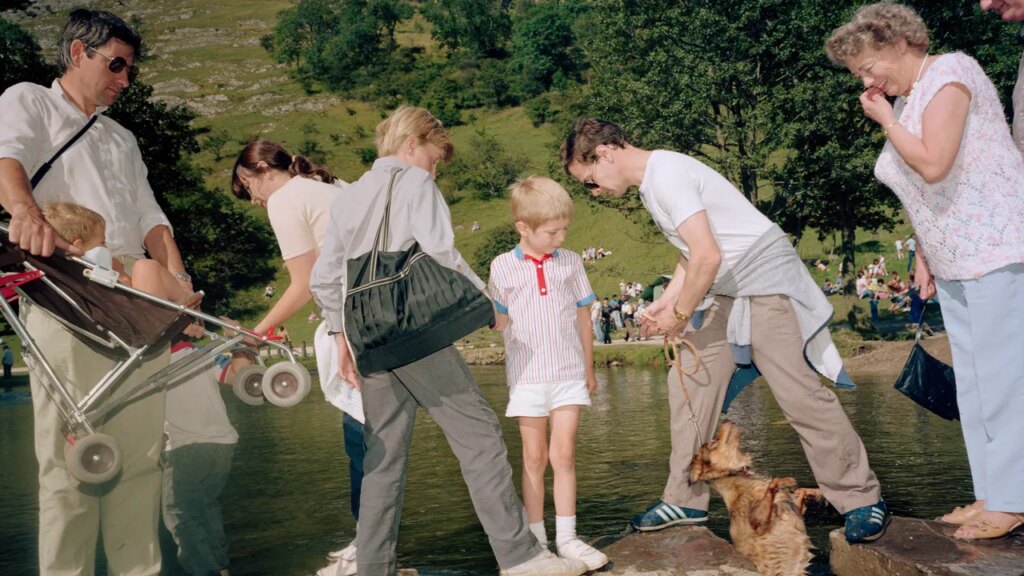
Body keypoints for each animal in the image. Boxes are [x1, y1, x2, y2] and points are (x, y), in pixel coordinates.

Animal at [689, 421, 823, 576]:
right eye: (713, 442)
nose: (727, 420)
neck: (739, 478)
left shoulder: (794, 509)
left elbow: (801, 492)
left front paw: (816, 492)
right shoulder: (757, 524)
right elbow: (773, 485)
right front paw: (785, 481)